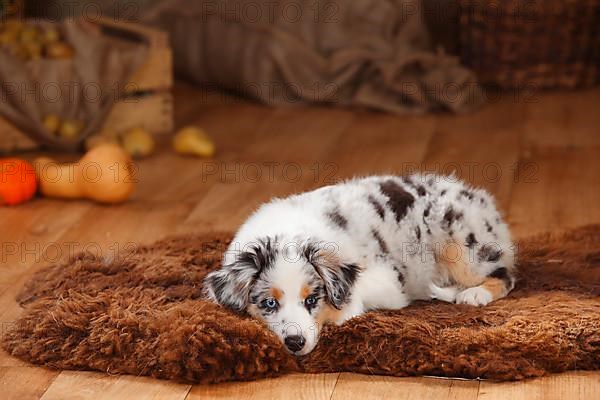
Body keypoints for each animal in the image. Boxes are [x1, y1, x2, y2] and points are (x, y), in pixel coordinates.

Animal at [206, 173, 516, 354]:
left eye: (312, 300)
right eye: (269, 303)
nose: (295, 343)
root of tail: (480, 198)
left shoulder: (389, 278)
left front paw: (343, 314)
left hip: (462, 247)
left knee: (505, 276)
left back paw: (475, 294)